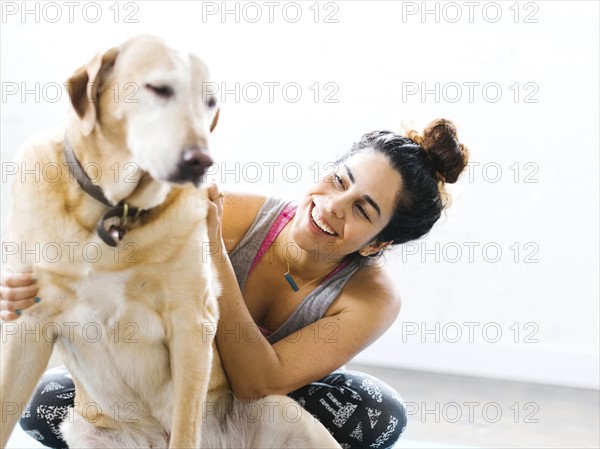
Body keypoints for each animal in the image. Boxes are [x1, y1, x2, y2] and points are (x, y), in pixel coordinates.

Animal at [0, 34, 340, 448]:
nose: (202, 161)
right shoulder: (28, 324)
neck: (114, 212)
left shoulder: (191, 321)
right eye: (159, 88)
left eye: (209, 102)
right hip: (83, 429)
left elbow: (185, 425)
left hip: (279, 408)